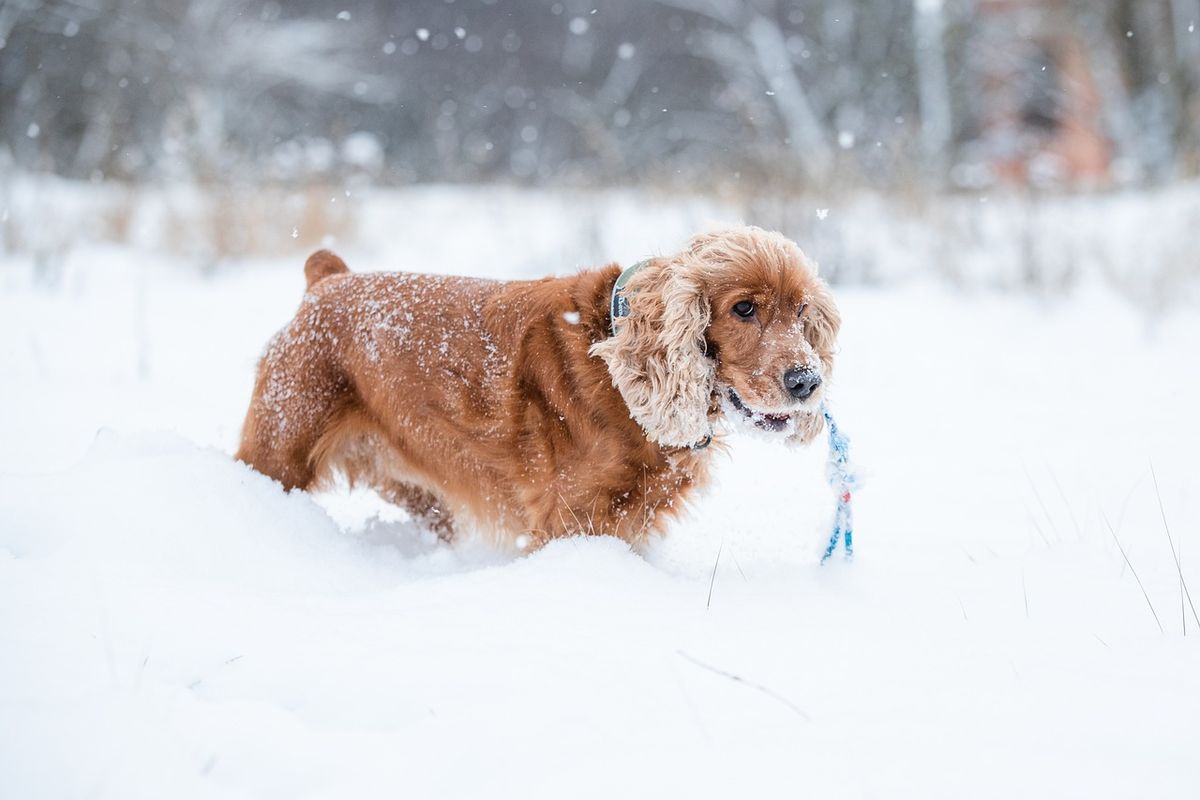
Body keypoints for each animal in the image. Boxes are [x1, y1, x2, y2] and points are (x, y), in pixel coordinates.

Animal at [234, 227, 835, 546]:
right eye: (743, 308)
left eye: (802, 310)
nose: (807, 381)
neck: (616, 365)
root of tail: (327, 280)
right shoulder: (571, 518)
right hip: (278, 447)